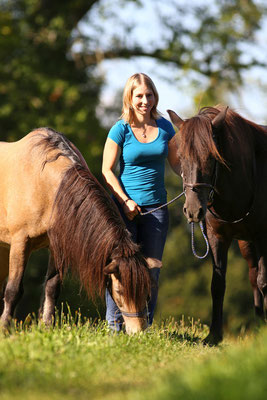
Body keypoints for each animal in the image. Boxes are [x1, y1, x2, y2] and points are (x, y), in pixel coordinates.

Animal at [0, 127, 152, 332]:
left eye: (146, 290)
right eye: (119, 291)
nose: (139, 331)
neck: (45, 184)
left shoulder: (57, 245)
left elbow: (52, 287)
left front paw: (47, 326)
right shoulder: (20, 242)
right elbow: (13, 290)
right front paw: (4, 329)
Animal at [169, 105, 267, 344]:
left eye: (212, 157)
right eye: (181, 156)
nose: (193, 210)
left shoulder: (263, 235)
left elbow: (264, 281)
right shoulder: (218, 237)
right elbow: (218, 284)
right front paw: (214, 335)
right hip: (246, 242)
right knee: (253, 276)